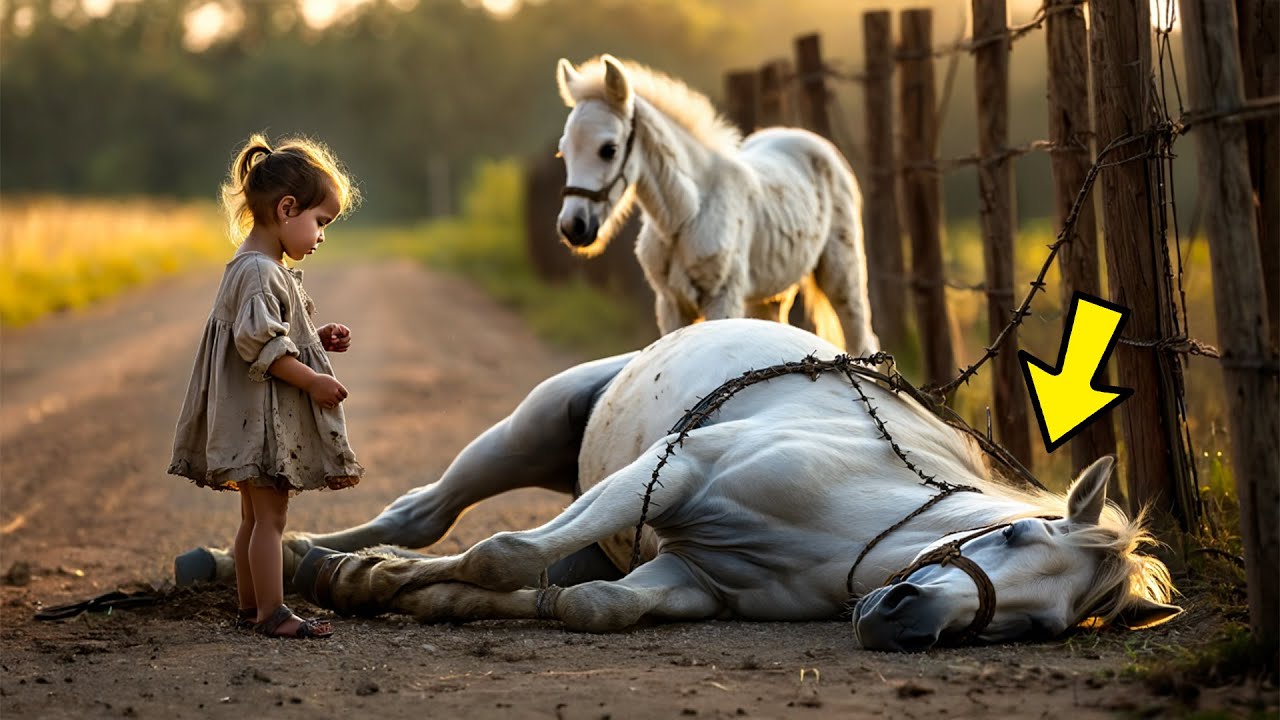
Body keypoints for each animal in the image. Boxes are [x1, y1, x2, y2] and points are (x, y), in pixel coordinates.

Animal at [176, 319, 1180, 651]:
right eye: (1013, 535)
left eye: (1043, 626)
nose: (903, 620)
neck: (851, 520)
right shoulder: (676, 476)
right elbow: (502, 553)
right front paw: (363, 577)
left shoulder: (693, 574)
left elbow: (587, 605)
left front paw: (427, 599)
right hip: (529, 431)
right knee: (426, 513)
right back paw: (278, 560)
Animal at [554, 54, 878, 355]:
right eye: (563, 152)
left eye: (609, 149)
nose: (573, 227)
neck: (686, 215)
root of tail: (811, 140)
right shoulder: (670, 304)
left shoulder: (723, 297)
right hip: (769, 296)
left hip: (842, 276)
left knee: (862, 341)